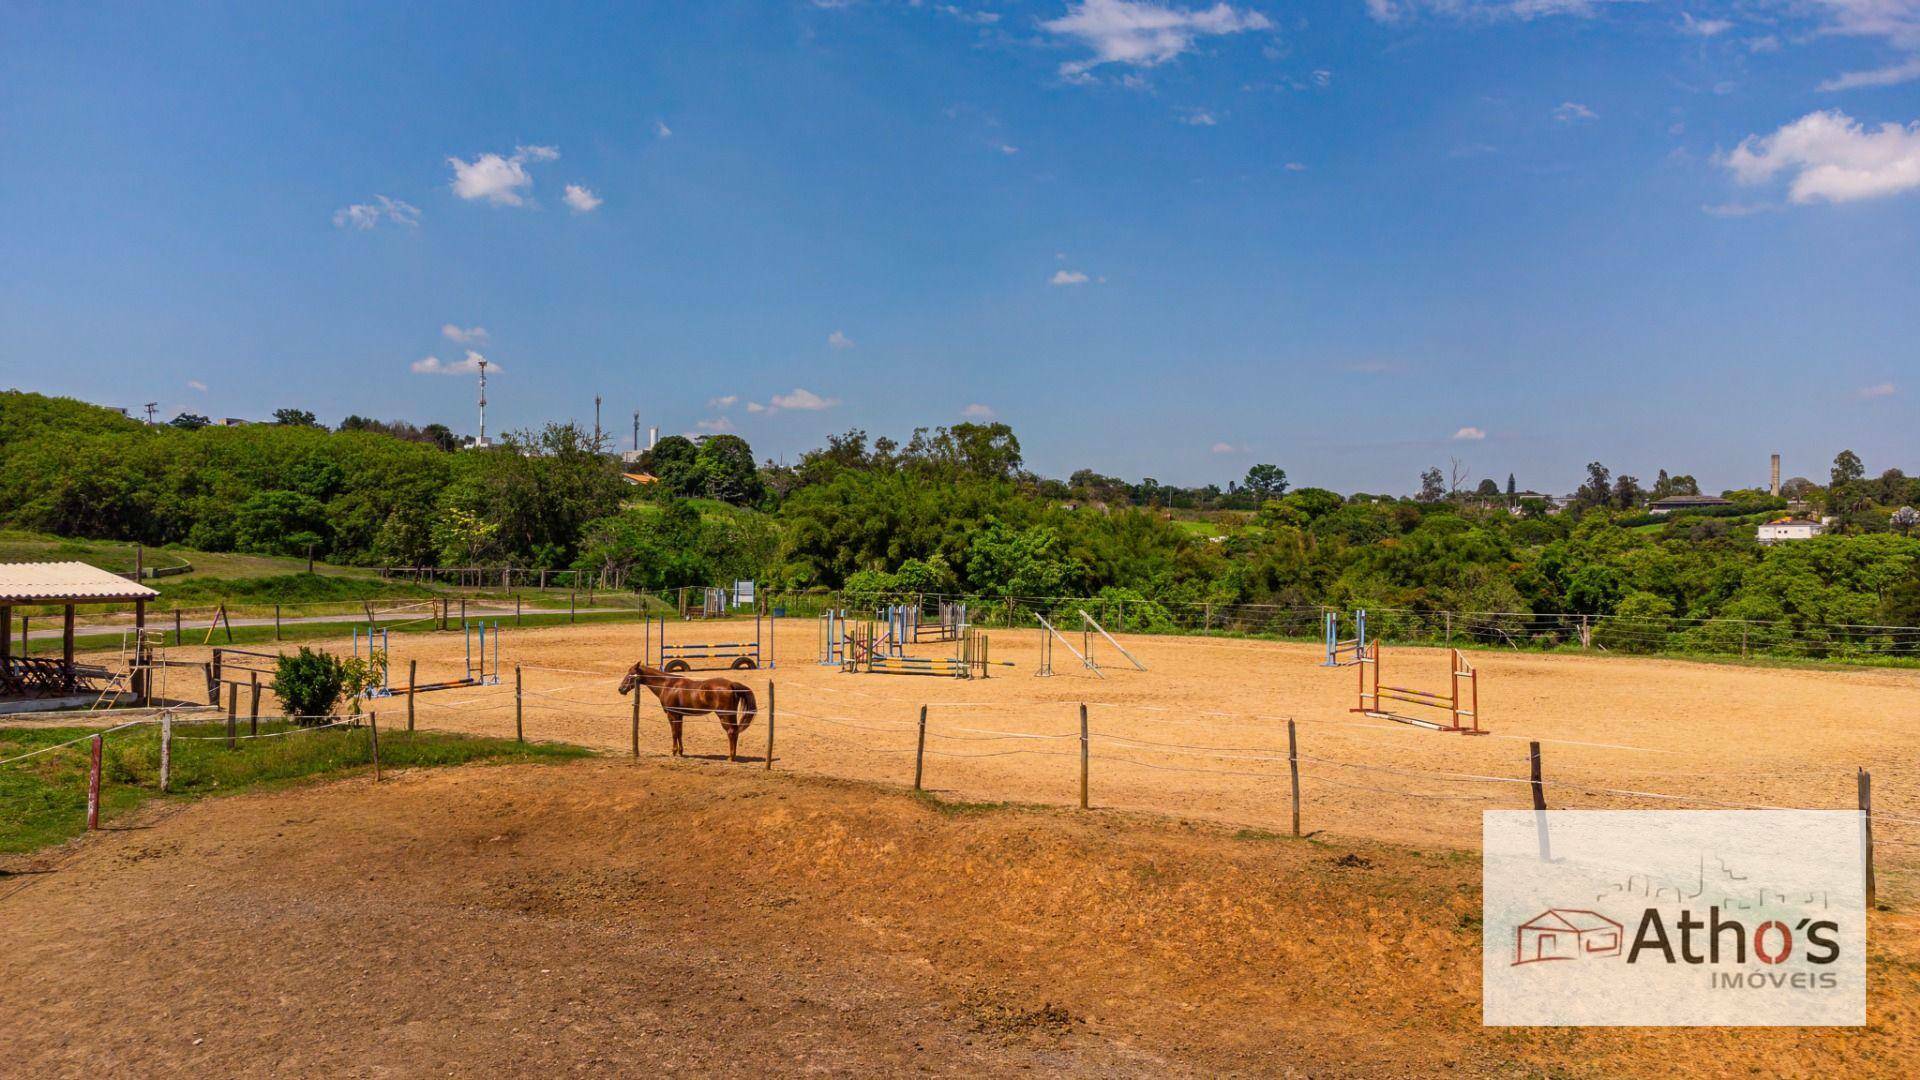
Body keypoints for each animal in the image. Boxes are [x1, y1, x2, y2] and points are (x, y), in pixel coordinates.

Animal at [622, 661, 756, 760]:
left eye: (631, 674)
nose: (620, 689)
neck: (667, 684)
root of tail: (731, 685)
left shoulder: (672, 715)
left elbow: (674, 733)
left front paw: (674, 752)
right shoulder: (679, 715)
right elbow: (679, 733)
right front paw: (681, 752)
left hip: (724, 716)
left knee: (731, 732)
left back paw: (731, 757)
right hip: (730, 716)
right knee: (735, 732)